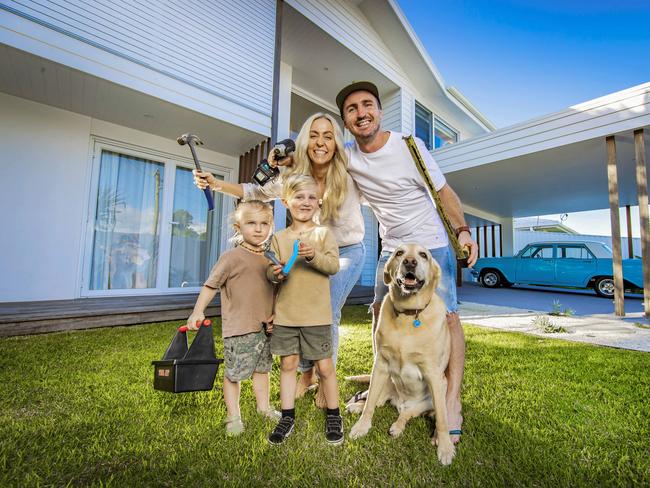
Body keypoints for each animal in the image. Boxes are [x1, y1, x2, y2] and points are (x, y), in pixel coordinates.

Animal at [346, 243, 454, 466]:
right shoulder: (380, 365)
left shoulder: (434, 375)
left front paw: (445, 448)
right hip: (385, 382)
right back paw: (357, 407)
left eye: (423, 255)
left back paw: (397, 426)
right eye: (399, 253)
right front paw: (362, 427)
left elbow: (442, 419)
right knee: (375, 402)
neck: (409, 314)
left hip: (436, 392)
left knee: (409, 414)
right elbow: (370, 405)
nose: (410, 262)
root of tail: (400, 403)